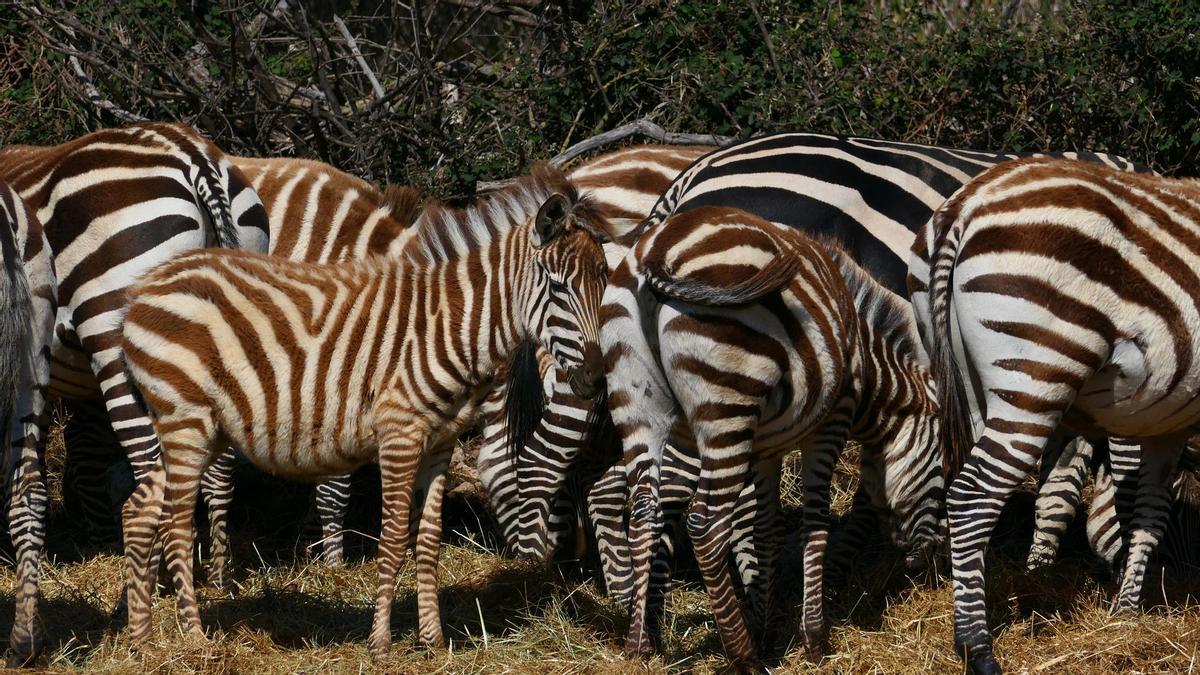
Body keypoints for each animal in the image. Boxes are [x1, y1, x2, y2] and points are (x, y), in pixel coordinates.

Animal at [119, 166, 609, 658]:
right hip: (186, 422)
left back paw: (142, 639)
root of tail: (142, 289)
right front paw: (380, 644)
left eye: (604, 284)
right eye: (558, 287)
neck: (448, 325)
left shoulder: (441, 443)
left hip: (197, 428)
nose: (595, 379)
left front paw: (433, 642)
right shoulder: (399, 432)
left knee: (139, 509)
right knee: (176, 524)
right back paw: (193, 637)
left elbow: (428, 543)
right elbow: (391, 542)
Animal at [604, 205, 940, 667]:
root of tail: (657, 247)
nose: (923, 564)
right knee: (706, 526)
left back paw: (638, 646)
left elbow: (766, 529)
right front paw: (813, 640)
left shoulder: (766, 447)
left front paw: (766, 629)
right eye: (945, 466)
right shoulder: (830, 425)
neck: (867, 369)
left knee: (643, 515)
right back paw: (742, 655)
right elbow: (814, 526)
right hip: (728, 398)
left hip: (636, 406)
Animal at [912, 154, 1200, 667]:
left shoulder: (1166, 421)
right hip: (1040, 366)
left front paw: (1126, 613)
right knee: (972, 495)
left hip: (967, 384)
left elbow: (1150, 511)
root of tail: (966, 204)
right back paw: (975, 645)